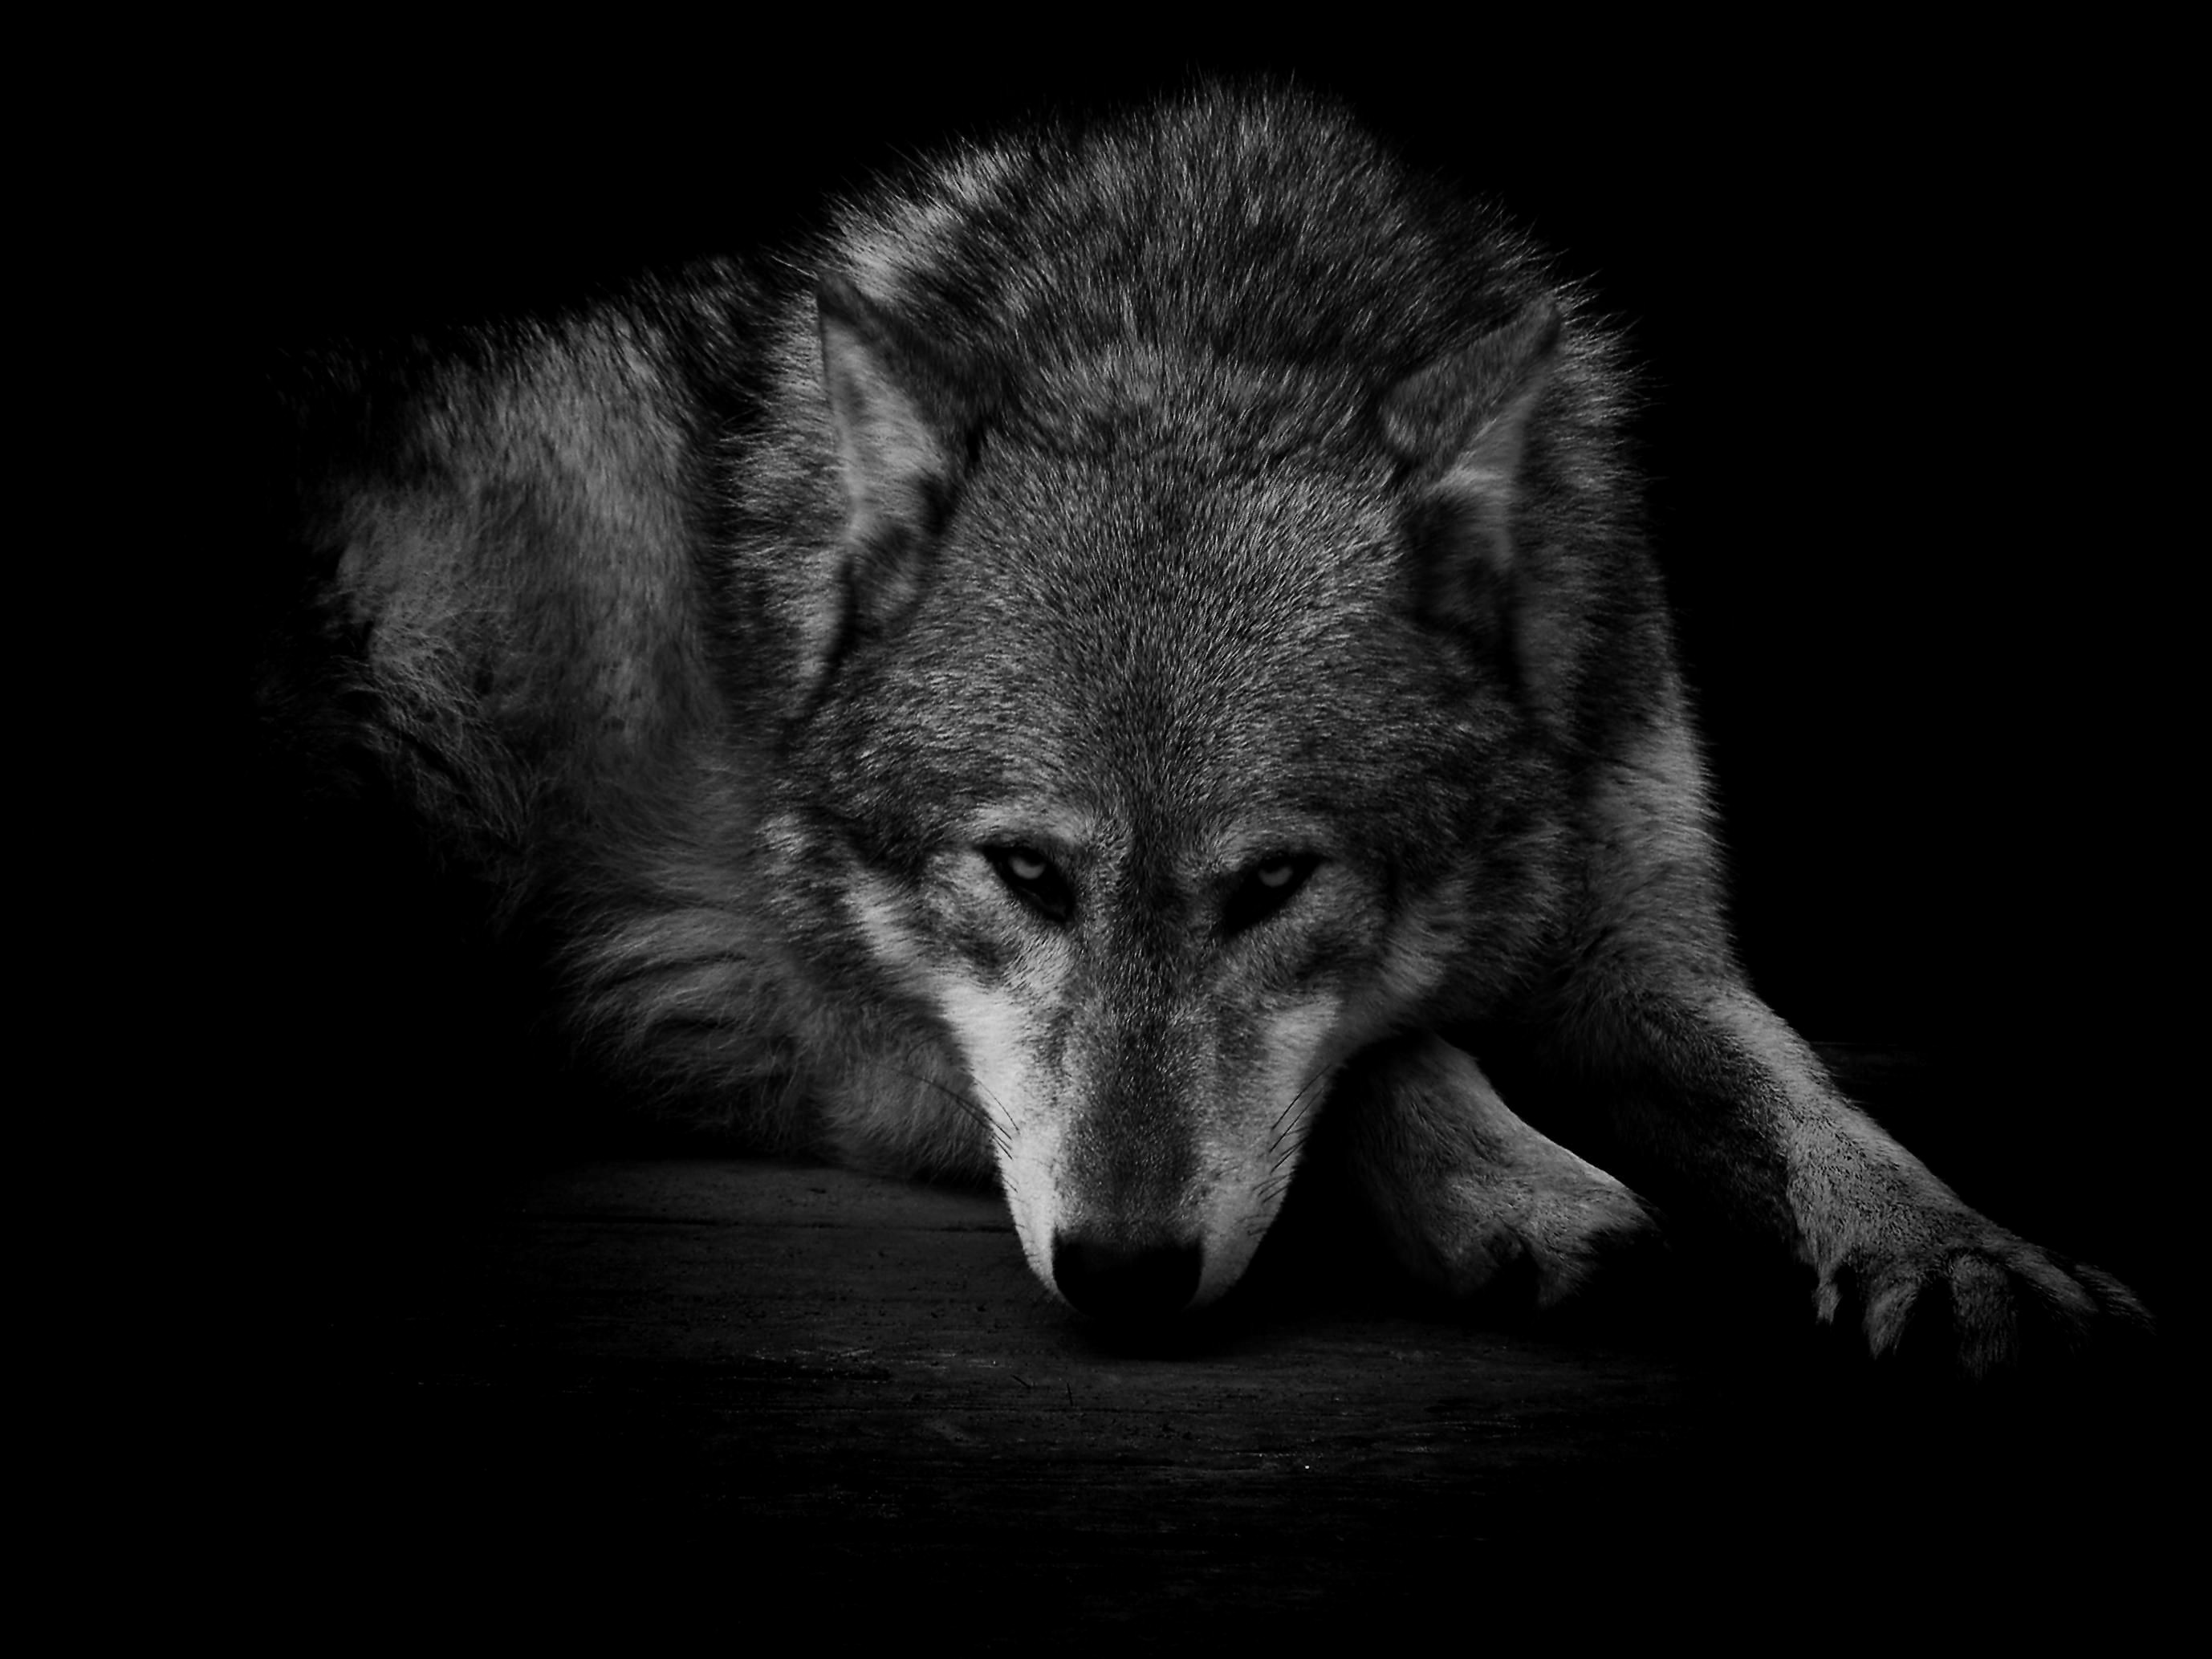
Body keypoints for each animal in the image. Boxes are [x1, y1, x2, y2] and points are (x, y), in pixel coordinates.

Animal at [265, 85, 2144, 1374]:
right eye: (1025, 874)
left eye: (1272, 887)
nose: (1119, 1272)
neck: (1202, 322)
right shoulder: (791, 1011)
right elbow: (1393, 1053)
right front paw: (1524, 1188)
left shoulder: (1637, 948)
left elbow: (1808, 1093)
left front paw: (1962, 1250)